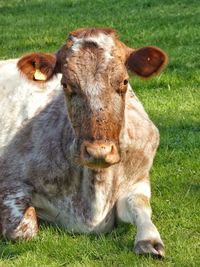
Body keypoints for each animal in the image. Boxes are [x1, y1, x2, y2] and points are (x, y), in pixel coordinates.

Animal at [0, 28, 167, 258]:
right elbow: (24, 229)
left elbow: (140, 204)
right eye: (65, 84)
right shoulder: (10, 182)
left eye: (124, 81)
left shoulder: (139, 178)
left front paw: (149, 239)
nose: (99, 151)